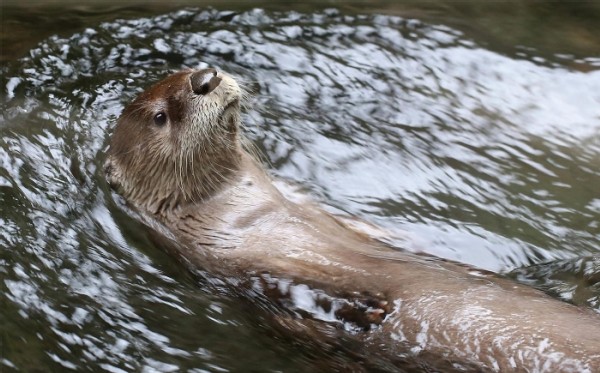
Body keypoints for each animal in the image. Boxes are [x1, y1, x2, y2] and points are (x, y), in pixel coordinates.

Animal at [105, 68, 600, 370]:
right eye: (160, 116)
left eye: (194, 68)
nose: (204, 79)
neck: (242, 208)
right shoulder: (224, 260)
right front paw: (360, 313)